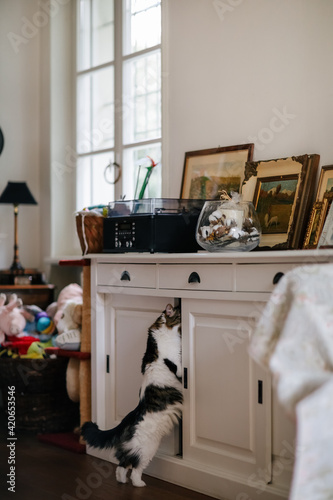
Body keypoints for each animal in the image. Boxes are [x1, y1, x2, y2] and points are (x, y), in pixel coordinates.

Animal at [82, 302, 183, 486]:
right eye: (179, 313)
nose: (179, 304)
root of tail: (131, 416)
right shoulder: (177, 364)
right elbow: (181, 366)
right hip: (147, 449)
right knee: (135, 467)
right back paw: (139, 484)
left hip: (136, 449)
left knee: (121, 465)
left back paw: (121, 481)